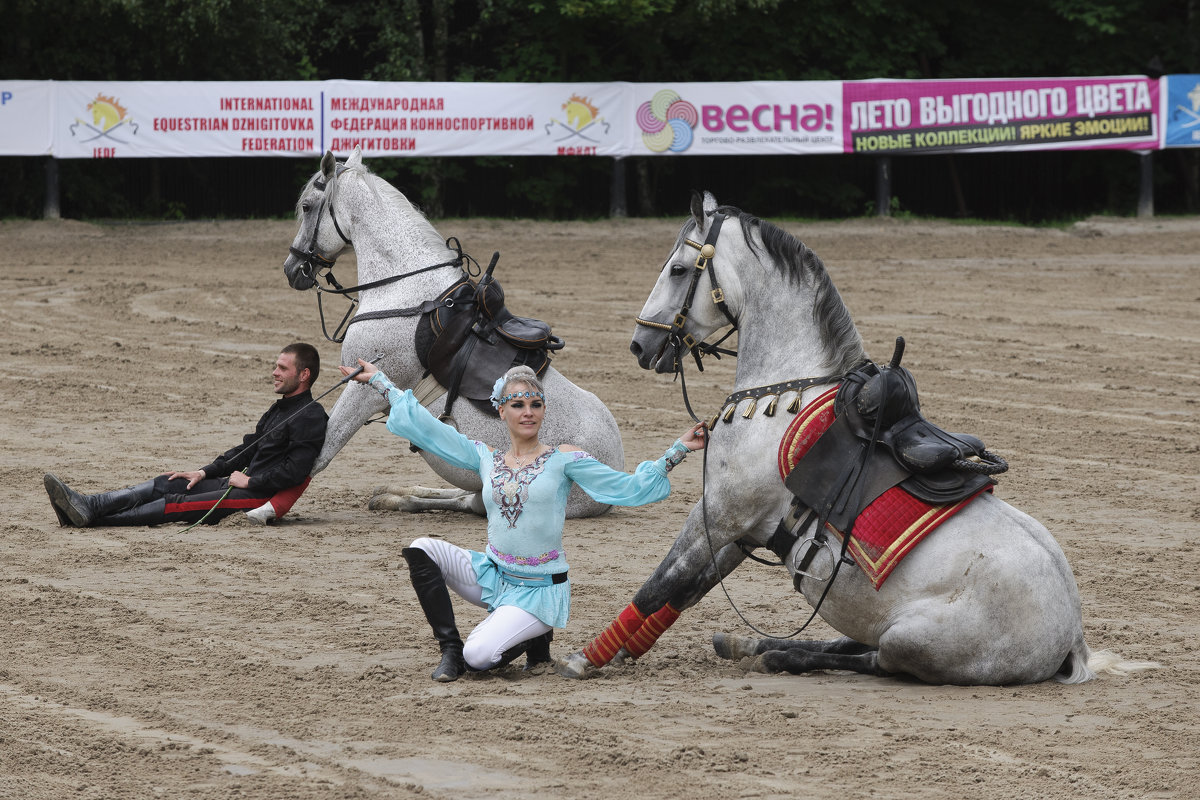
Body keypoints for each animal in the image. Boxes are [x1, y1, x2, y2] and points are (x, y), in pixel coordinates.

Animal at [267, 148, 624, 520]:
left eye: (307, 206)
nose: (292, 269)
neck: (403, 286)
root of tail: (617, 476)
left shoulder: (363, 390)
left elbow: (319, 455)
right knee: (459, 497)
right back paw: (394, 494)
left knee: (468, 501)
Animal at [556, 190, 1156, 686]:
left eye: (679, 268)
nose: (640, 344)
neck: (786, 395)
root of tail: (1072, 638)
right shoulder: (740, 532)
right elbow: (684, 590)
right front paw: (623, 650)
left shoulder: (719, 514)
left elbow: (660, 584)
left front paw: (584, 658)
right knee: (845, 644)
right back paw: (747, 643)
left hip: (912, 641)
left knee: (866, 657)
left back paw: (777, 654)